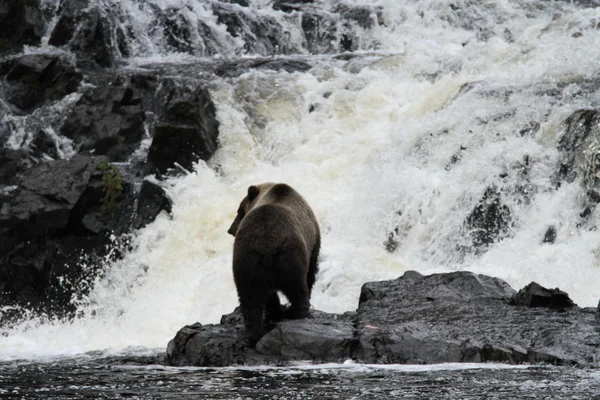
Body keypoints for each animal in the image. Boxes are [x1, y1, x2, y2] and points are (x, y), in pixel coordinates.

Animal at [226, 183, 318, 346]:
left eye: (239, 211)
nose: (230, 230)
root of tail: (266, 242)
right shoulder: (312, 240)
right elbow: (311, 271)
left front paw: (273, 312)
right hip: (290, 256)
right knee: (297, 287)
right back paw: (299, 313)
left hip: (246, 260)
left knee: (249, 298)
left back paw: (255, 333)